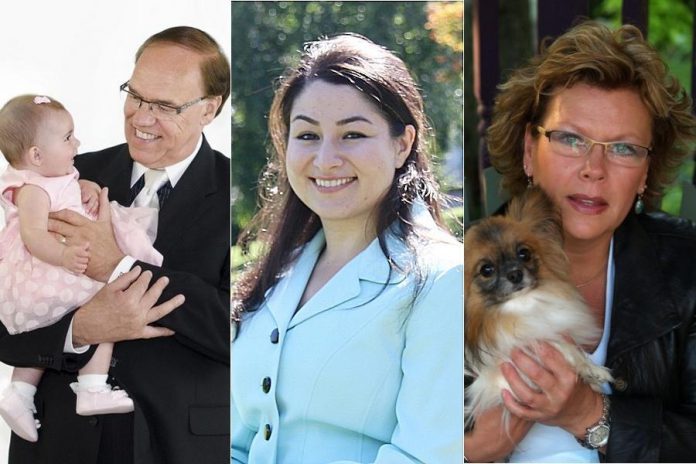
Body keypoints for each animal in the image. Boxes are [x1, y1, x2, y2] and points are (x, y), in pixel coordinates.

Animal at [464, 187, 612, 426]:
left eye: (523, 253)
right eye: (486, 269)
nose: (515, 274)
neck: (520, 309)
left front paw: (592, 371)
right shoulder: (493, 378)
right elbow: (551, 343)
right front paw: (587, 370)